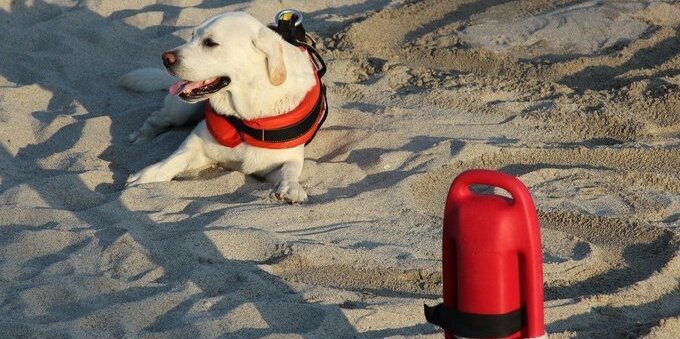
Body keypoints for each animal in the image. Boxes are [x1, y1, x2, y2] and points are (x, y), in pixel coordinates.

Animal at [119, 11, 326, 205]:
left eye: (210, 43)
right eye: (192, 35)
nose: (165, 58)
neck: (245, 115)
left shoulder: (284, 159)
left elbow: (290, 169)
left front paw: (291, 187)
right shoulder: (198, 143)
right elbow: (173, 159)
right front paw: (146, 175)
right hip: (180, 110)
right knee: (157, 118)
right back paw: (142, 135)